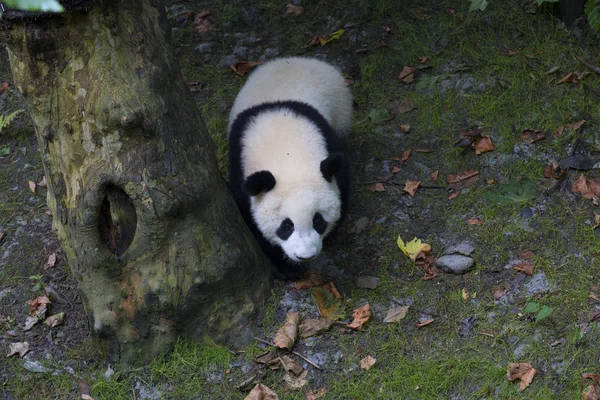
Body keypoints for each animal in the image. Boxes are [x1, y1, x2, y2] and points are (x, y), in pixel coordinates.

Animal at [229, 57, 352, 282]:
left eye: (317, 220)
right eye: (286, 226)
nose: (305, 256)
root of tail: (297, 59)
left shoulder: (329, 142)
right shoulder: (239, 164)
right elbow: (253, 223)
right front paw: (287, 269)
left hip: (340, 109)